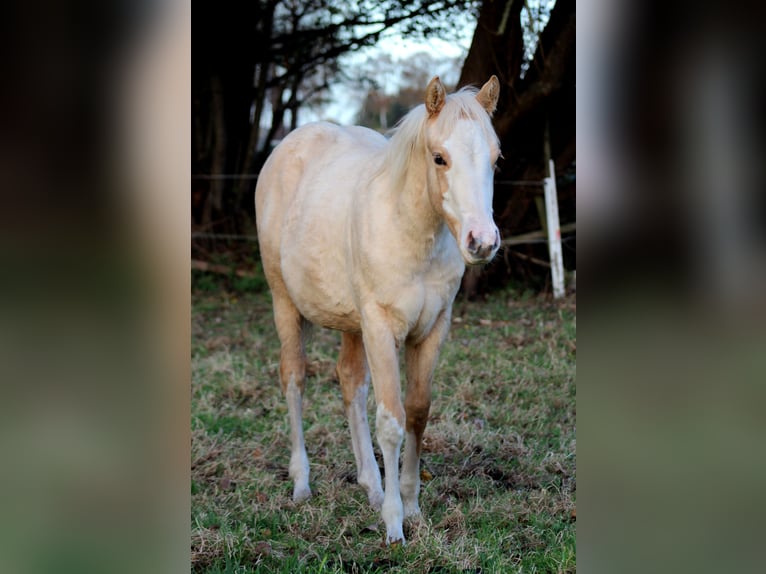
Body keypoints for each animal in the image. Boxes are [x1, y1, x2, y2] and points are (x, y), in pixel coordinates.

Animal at [255, 75, 501, 545]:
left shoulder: (432, 328)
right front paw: (393, 524)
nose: (482, 242)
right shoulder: (381, 327)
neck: (409, 230)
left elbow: (417, 414)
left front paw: (412, 507)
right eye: (439, 158)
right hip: (284, 303)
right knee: (293, 378)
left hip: (352, 324)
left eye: (496, 159)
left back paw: (369, 483)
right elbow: (391, 420)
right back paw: (301, 483)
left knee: (351, 382)